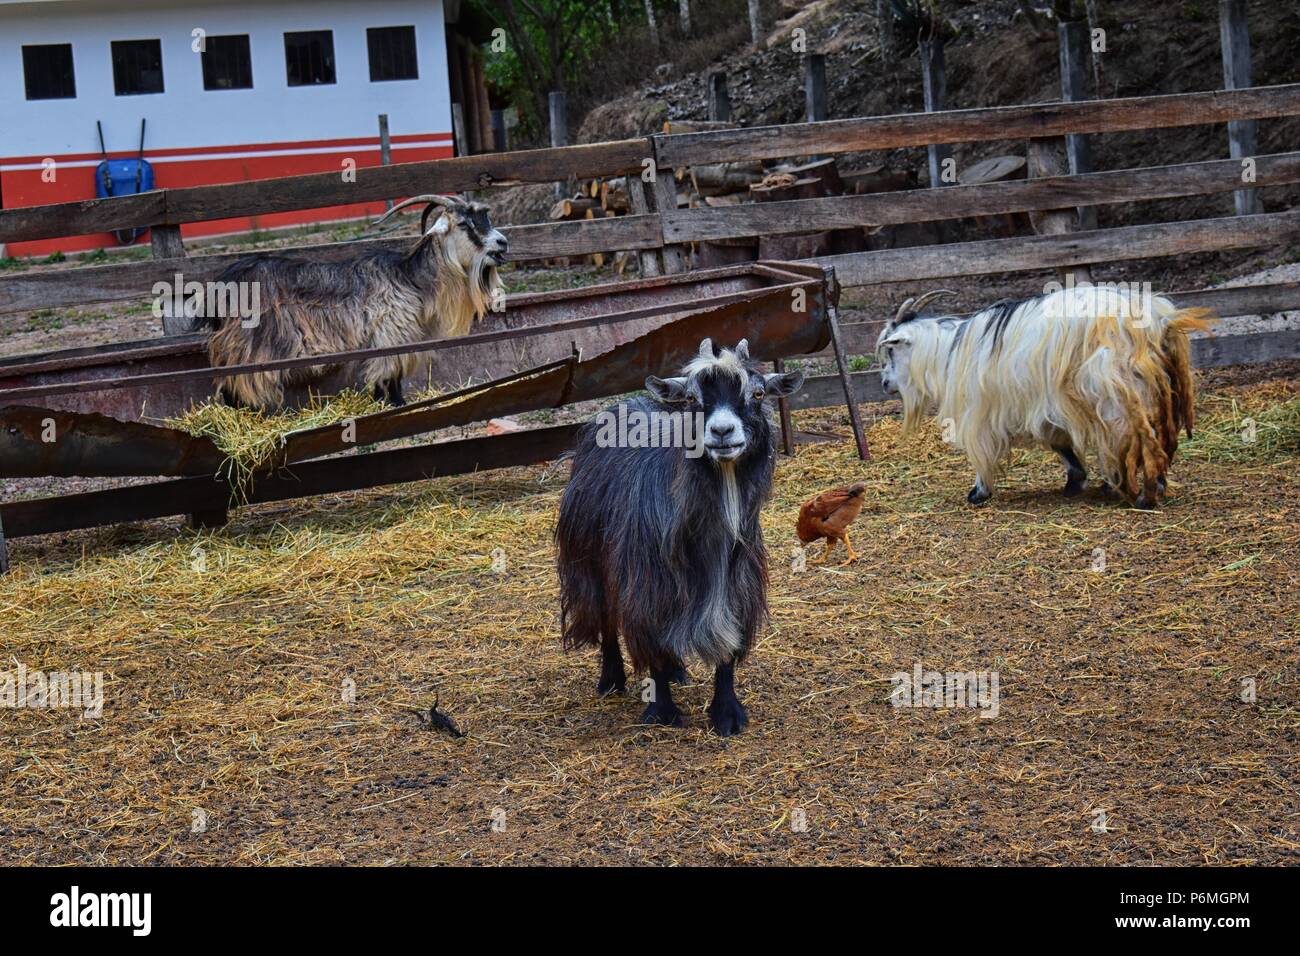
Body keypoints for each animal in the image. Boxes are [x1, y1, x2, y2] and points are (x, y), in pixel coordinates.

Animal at [201, 194, 507, 409]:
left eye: (486, 218)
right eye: (465, 224)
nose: (503, 243)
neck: (410, 278)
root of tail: (220, 286)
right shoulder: (390, 334)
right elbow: (389, 375)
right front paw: (395, 404)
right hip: (246, 345)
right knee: (232, 383)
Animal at [555, 338, 804, 735]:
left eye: (758, 393)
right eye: (691, 398)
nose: (722, 432)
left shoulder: (737, 583)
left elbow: (728, 641)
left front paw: (727, 713)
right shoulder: (647, 585)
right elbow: (650, 640)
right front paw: (663, 711)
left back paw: (676, 671)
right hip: (589, 560)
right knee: (605, 617)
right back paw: (611, 680)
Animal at [876, 286, 1213, 508]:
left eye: (891, 350)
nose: (884, 383)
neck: (948, 353)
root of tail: (1157, 322)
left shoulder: (985, 412)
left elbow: (985, 452)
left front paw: (979, 492)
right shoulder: (1040, 406)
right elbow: (1059, 441)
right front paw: (1076, 480)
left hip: (1116, 390)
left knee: (1135, 436)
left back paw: (1144, 495)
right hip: (1155, 390)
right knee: (1156, 436)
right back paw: (1148, 484)